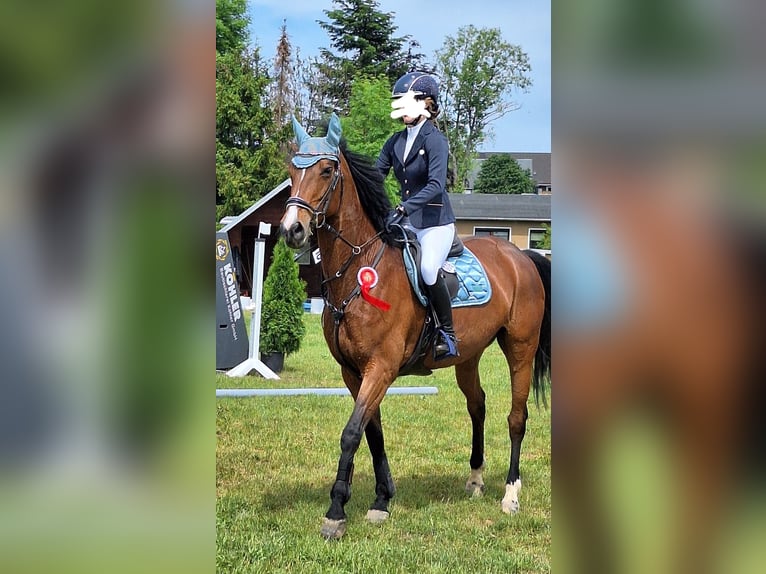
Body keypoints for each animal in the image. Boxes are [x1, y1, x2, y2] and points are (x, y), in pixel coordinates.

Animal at [282, 115, 552, 544]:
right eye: (292, 171)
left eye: (326, 170)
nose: (292, 229)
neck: (358, 272)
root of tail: (520, 255)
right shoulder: (353, 372)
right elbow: (372, 433)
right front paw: (381, 500)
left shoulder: (381, 367)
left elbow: (352, 433)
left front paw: (336, 512)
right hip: (468, 355)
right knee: (478, 406)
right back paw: (475, 479)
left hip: (520, 348)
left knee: (516, 417)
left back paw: (510, 494)